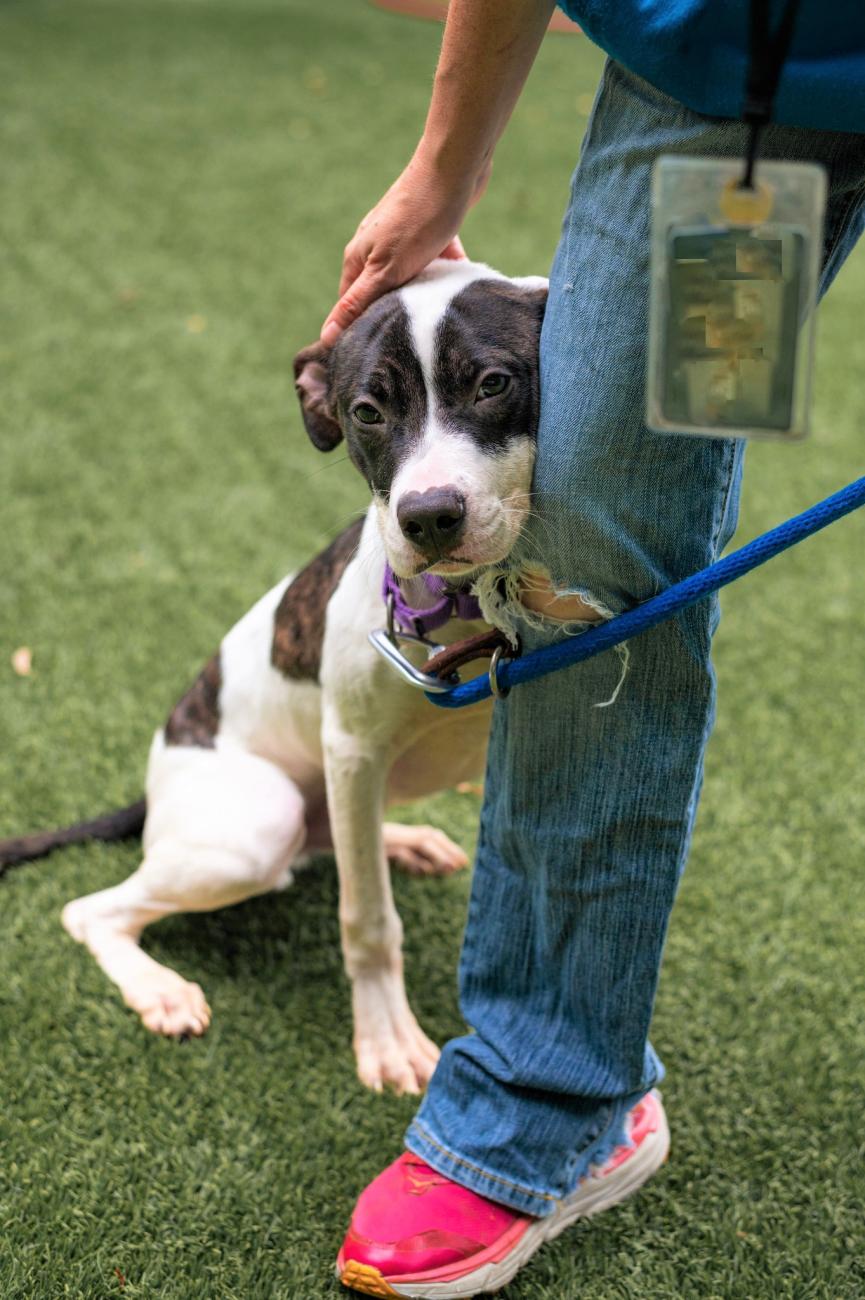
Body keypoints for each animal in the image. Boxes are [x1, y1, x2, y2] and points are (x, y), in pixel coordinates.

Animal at [1, 258, 546, 1092]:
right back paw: (158, 988)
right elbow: (367, 919)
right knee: (92, 910)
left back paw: (402, 840)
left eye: (491, 384)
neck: (469, 605)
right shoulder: (351, 745)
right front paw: (385, 1039)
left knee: (339, 840)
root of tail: (156, 784)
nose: (427, 516)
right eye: (365, 411)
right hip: (257, 823)